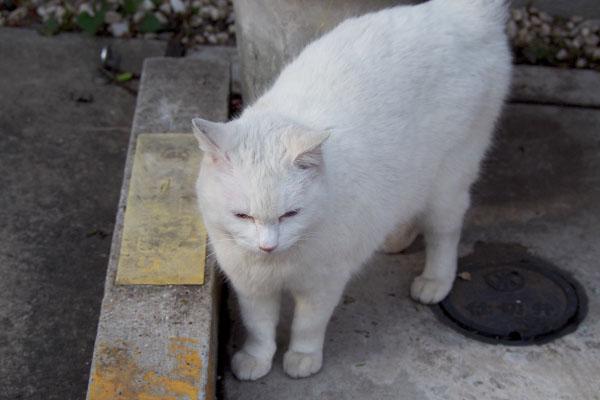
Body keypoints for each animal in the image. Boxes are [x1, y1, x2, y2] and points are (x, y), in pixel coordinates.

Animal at [192, 0, 510, 380]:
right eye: (242, 215)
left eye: (290, 214)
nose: (267, 246)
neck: (277, 264)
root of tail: (462, 13)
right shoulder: (252, 288)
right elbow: (259, 328)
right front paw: (256, 359)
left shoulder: (323, 284)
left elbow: (307, 325)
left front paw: (302, 358)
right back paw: (395, 240)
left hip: (448, 180)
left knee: (444, 234)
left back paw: (435, 281)